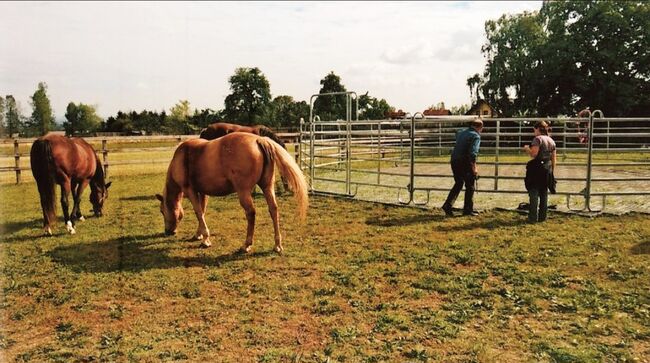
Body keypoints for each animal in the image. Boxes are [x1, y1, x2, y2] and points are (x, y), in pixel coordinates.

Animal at [157, 132, 308, 253]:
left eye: (162, 211)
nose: (168, 232)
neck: (182, 156)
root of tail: (259, 140)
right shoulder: (202, 192)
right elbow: (202, 211)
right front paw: (199, 235)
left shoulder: (190, 191)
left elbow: (198, 212)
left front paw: (205, 239)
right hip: (267, 187)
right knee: (273, 210)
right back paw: (277, 245)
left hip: (244, 192)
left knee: (251, 213)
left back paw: (246, 245)